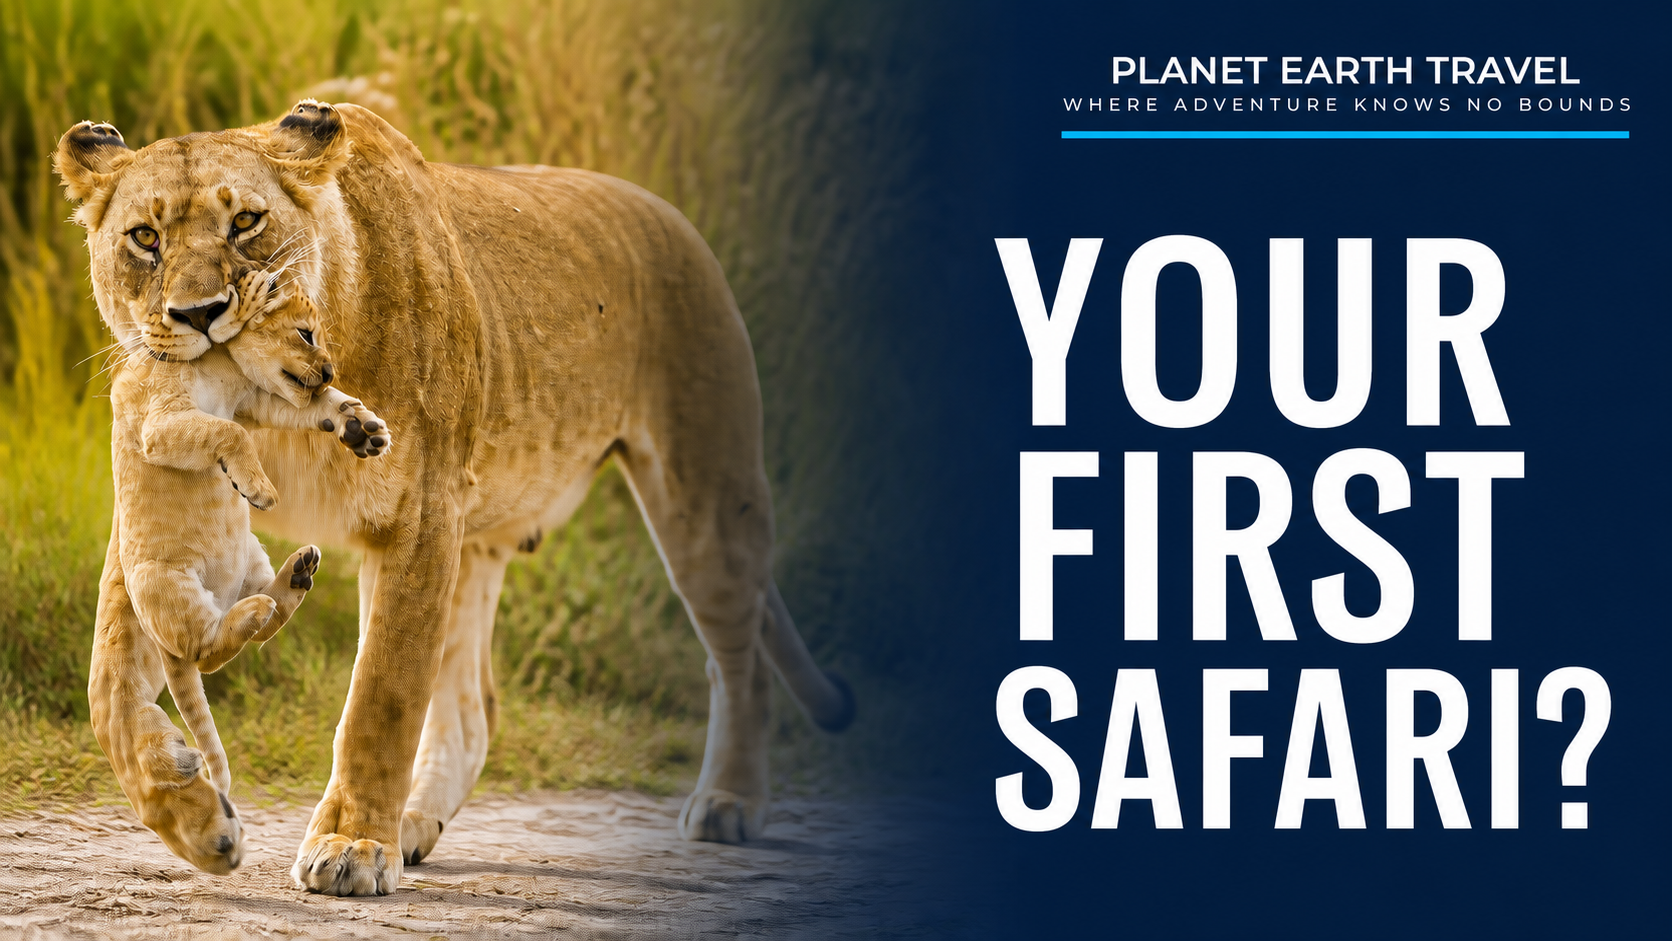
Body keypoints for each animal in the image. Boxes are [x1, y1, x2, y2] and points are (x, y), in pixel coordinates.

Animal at [102, 265, 393, 873]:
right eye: (306, 333)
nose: (330, 369)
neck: (221, 364)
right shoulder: (164, 422)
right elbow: (227, 433)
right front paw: (258, 488)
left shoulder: (257, 401)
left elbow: (305, 408)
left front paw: (360, 423)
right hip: (164, 584)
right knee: (205, 652)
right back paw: (252, 609)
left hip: (252, 555)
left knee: (261, 617)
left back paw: (296, 576)